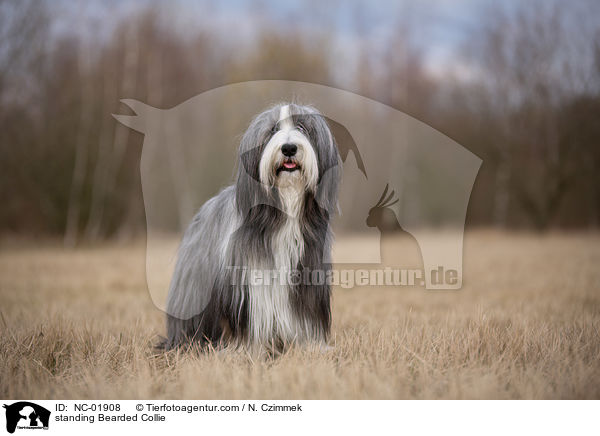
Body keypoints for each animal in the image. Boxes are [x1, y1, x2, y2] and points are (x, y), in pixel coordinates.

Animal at [163, 102, 342, 350]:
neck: (285, 211)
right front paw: (250, 349)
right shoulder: (249, 282)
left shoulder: (309, 272)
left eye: (302, 127)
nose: (288, 148)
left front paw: (310, 346)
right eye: (273, 130)